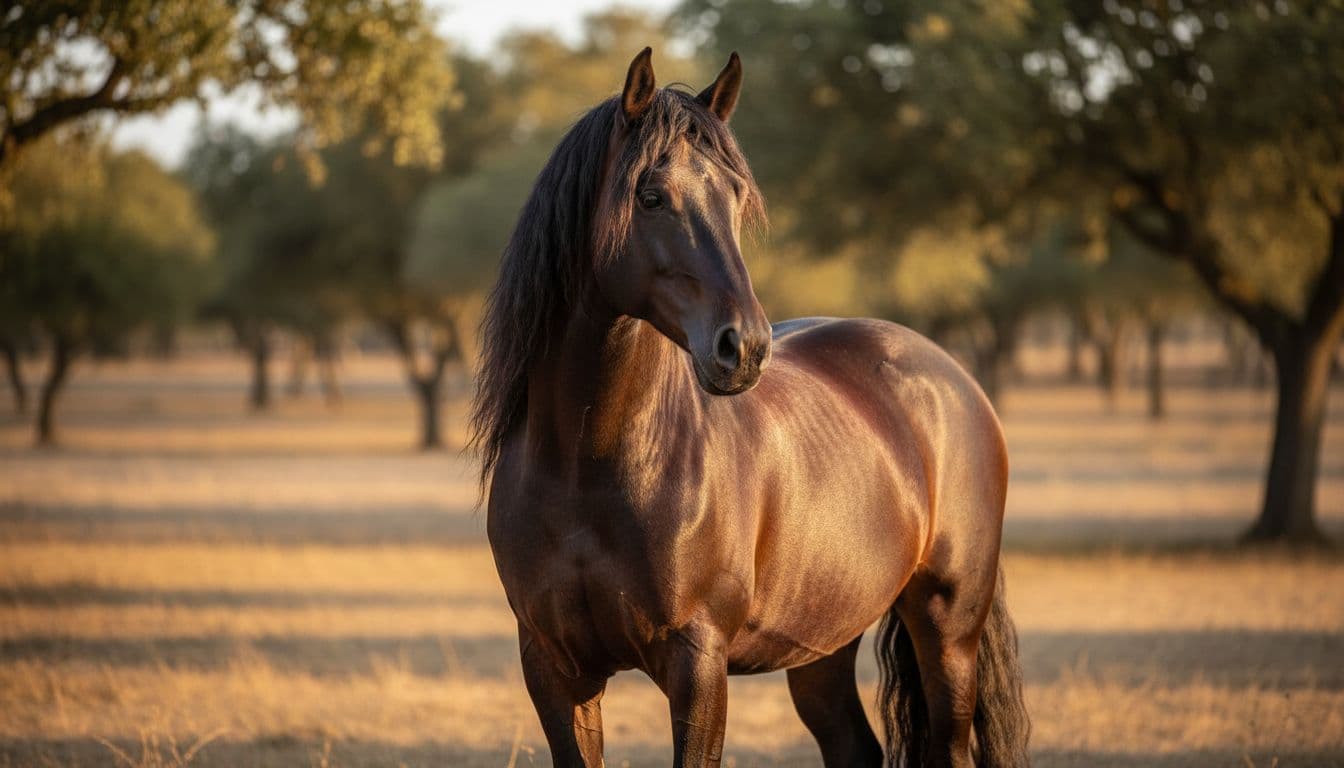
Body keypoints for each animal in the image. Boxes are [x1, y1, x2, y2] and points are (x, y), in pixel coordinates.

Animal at [472, 48, 1030, 768]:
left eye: (735, 197)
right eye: (650, 196)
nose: (745, 348)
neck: (585, 465)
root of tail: (953, 378)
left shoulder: (698, 665)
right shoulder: (553, 668)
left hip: (948, 630)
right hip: (823, 642)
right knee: (854, 747)